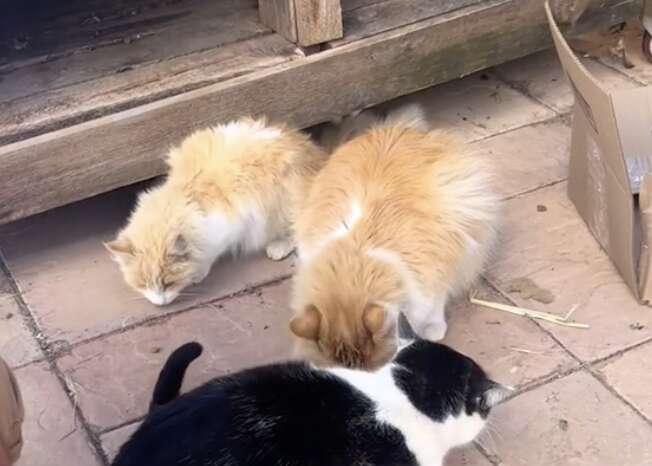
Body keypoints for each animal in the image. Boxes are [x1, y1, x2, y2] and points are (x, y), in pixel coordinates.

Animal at [105, 117, 326, 306]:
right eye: (143, 284)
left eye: (168, 283)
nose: (160, 304)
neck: (185, 195)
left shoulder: (231, 226)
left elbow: (210, 253)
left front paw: (198, 273)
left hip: (287, 206)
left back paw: (278, 247)